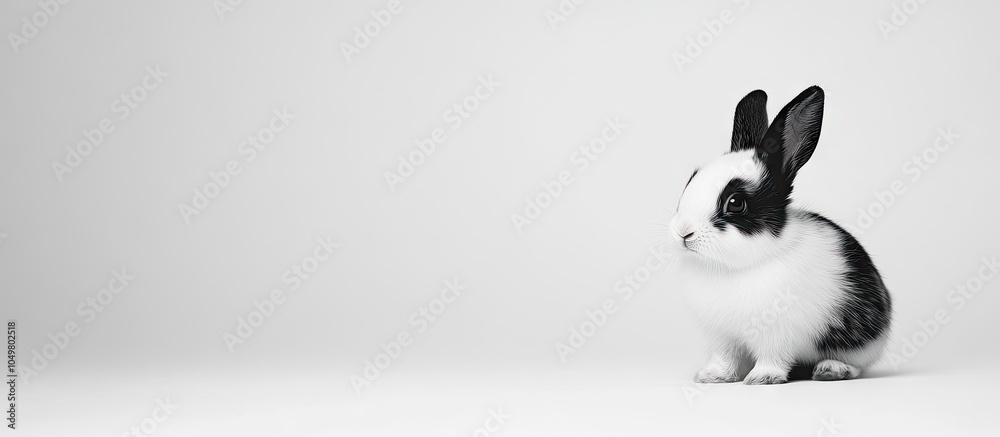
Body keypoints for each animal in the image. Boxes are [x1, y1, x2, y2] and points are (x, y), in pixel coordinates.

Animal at [669, 86, 892, 384]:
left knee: (856, 364)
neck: (734, 267)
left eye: (735, 203)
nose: (683, 232)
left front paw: (761, 378)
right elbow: (724, 359)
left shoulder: (776, 334)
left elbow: (772, 357)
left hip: (859, 342)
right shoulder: (721, 337)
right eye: (691, 179)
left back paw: (831, 370)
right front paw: (711, 376)